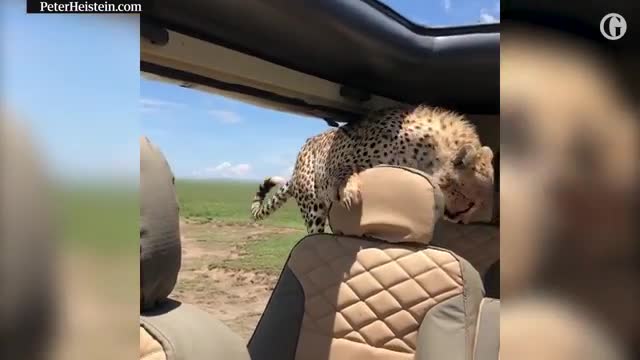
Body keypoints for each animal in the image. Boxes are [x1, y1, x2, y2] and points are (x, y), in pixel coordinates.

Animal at [250, 104, 496, 233]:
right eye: (469, 198)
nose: (461, 219)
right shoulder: (340, 153)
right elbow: (342, 170)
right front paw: (349, 190)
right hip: (313, 211)